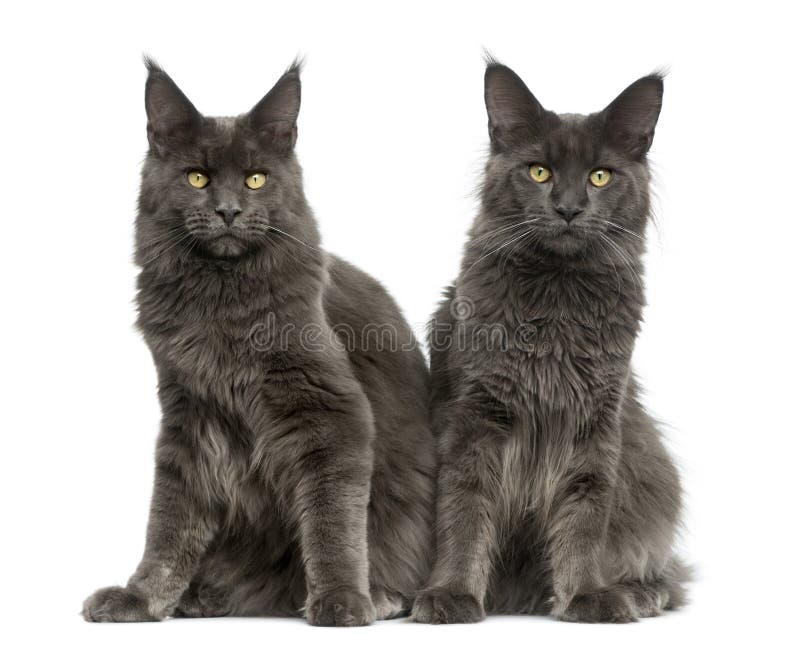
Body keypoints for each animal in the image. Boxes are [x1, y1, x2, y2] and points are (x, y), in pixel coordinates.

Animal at [82, 60, 434, 628]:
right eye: (197, 177)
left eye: (255, 178)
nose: (227, 211)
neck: (221, 302)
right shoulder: (187, 414)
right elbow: (168, 525)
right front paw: (141, 599)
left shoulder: (331, 412)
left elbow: (333, 522)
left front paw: (341, 600)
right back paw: (203, 598)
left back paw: (377, 595)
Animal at [412, 63, 688, 624]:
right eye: (539, 171)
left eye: (600, 175)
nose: (568, 208)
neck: (557, 303)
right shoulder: (475, 416)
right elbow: (464, 509)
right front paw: (452, 593)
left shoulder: (596, 422)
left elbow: (584, 515)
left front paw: (585, 596)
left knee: (667, 573)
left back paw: (640, 593)